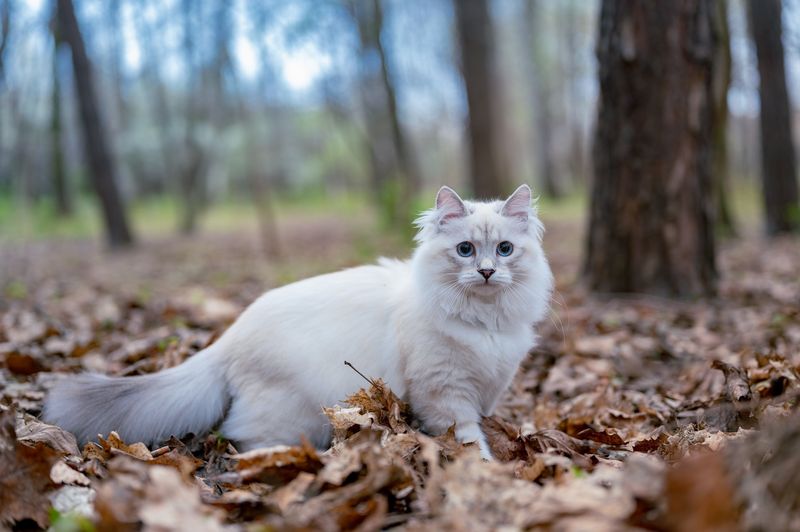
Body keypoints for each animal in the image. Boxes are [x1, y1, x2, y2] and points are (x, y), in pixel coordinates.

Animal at [42, 185, 552, 460]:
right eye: (465, 250)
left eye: (504, 249)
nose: (486, 272)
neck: (485, 323)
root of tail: (229, 337)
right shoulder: (445, 394)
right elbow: (467, 437)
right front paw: (485, 465)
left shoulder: (486, 386)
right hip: (290, 411)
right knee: (244, 438)